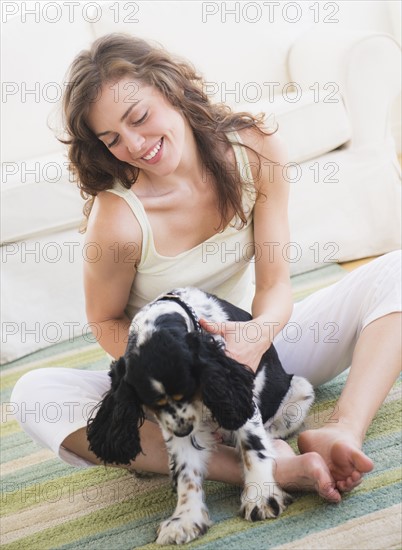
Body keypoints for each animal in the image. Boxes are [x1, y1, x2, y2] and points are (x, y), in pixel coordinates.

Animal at [87, 288, 314, 548]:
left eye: (186, 390)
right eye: (153, 403)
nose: (183, 430)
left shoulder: (237, 397)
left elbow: (253, 447)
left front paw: (261, 497)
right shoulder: (174, 426)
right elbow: (186, 470)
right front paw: (185, 520)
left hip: (301, 389)